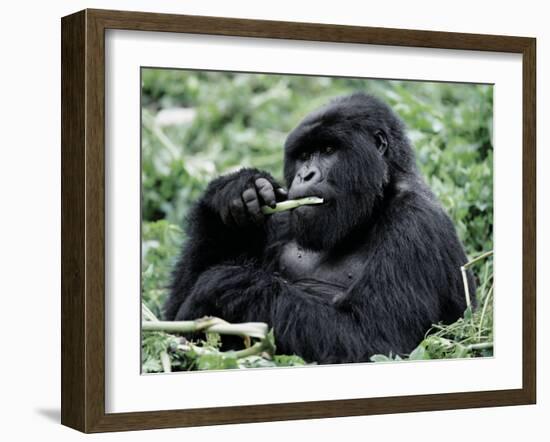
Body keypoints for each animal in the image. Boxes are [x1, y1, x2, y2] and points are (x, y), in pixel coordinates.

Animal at [163, 92, 474, 362]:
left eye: (327, 150)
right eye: (303, 155)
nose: (305, 175)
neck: (373, 206)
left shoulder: (416, 224)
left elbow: (375, 340)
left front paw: (225, 286)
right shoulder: (282, 214)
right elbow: (172, 316)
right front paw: (233, 191)